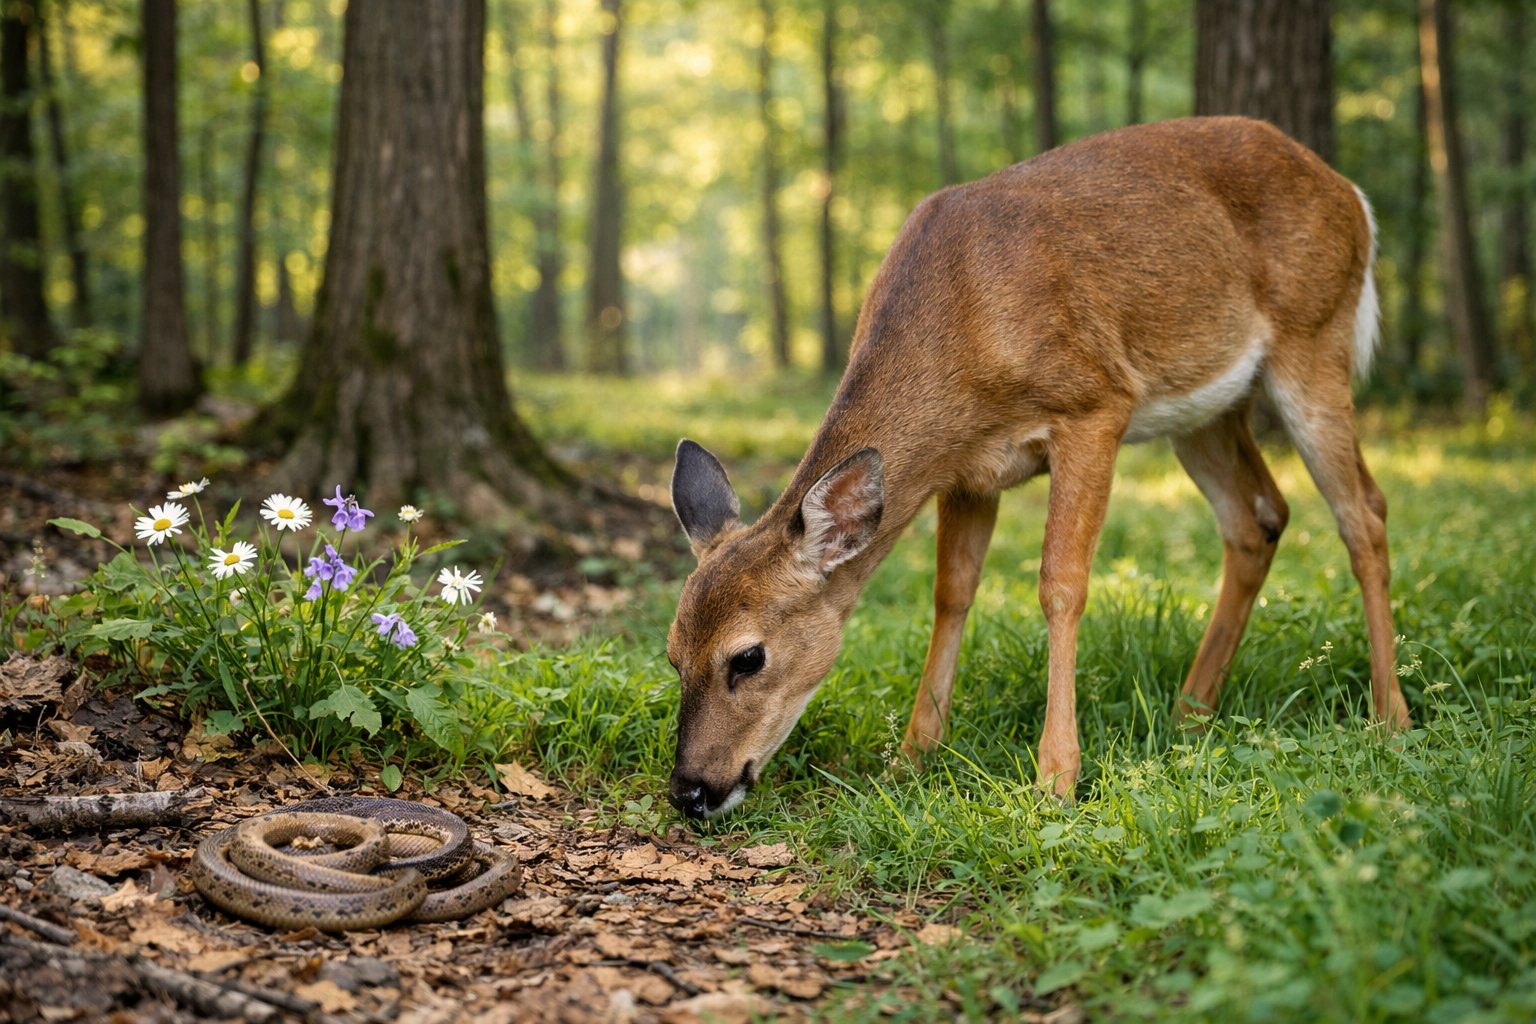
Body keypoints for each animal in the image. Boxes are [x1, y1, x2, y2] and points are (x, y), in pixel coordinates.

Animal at [664, 116, 1413, 819]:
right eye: (672, 655)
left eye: (748, 656)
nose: (690, 790)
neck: (962, 330)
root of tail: (1350, 194)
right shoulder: (966, 472)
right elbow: (952, 593)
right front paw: (910, 757)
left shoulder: (1095, 405)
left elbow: (1061, 584)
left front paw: (1055, 777)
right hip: (1204, 411)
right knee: (1258, 517)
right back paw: (1189, 713)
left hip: (1315, 339)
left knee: (1364, 512)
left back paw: (1390, 718)